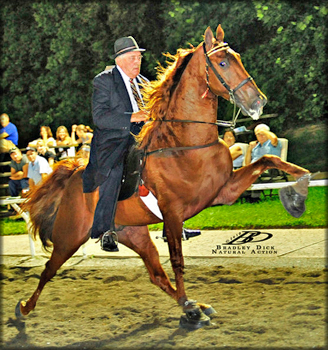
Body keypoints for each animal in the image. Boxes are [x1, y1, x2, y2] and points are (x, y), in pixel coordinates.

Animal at [17, 23, 310, 328]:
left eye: (237, 57)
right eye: (223, 62)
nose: (258, 102)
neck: (186, 143)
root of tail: (73, 174)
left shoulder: (224, 192)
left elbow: (269, 159)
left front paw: (297, 195)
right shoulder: (172, 213)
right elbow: (178, 261)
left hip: (133, 232)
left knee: (155, 274)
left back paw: (193, 306)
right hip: (71, 236)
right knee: (49, 269)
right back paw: (24, 308)